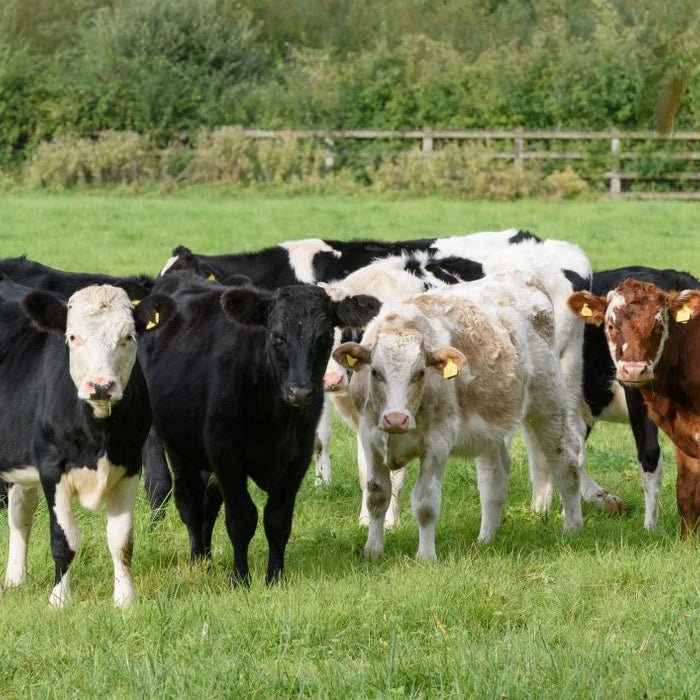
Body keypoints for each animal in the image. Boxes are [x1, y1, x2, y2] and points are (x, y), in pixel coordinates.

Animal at [0, 285, 173, 606]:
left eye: (128, 337)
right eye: (72, 337)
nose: (101, 385)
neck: (98, 434)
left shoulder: (129, 464)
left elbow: (121, 539)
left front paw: (125, 600)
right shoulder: (52, 468)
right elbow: (64, 539)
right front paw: (59, 600)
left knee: (20, 513)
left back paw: (16, 579)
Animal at [138, 273, 380, 584]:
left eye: (325, 337)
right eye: (277, 336)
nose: (300, 392)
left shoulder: (297, 457)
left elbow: (277, 519)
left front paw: (275, 577)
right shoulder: (226, 454)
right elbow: (241, 518)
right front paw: (240, 578)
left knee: (209, 504)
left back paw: (207, 557)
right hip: (179, 445)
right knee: (189, 502)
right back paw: (197, 561)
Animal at [332, 270, 583, 561]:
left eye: (420, 372)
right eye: (375, 372)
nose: (396, 418)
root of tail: (525, 276)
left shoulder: (436, 444)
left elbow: (426, 504)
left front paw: (426, 557)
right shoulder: (370, 439)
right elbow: (377, 496)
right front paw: (373, 550)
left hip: (548, 404)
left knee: (566, 460)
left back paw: (572, 527)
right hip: (492, 426)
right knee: (495, 476)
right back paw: (485, 539)